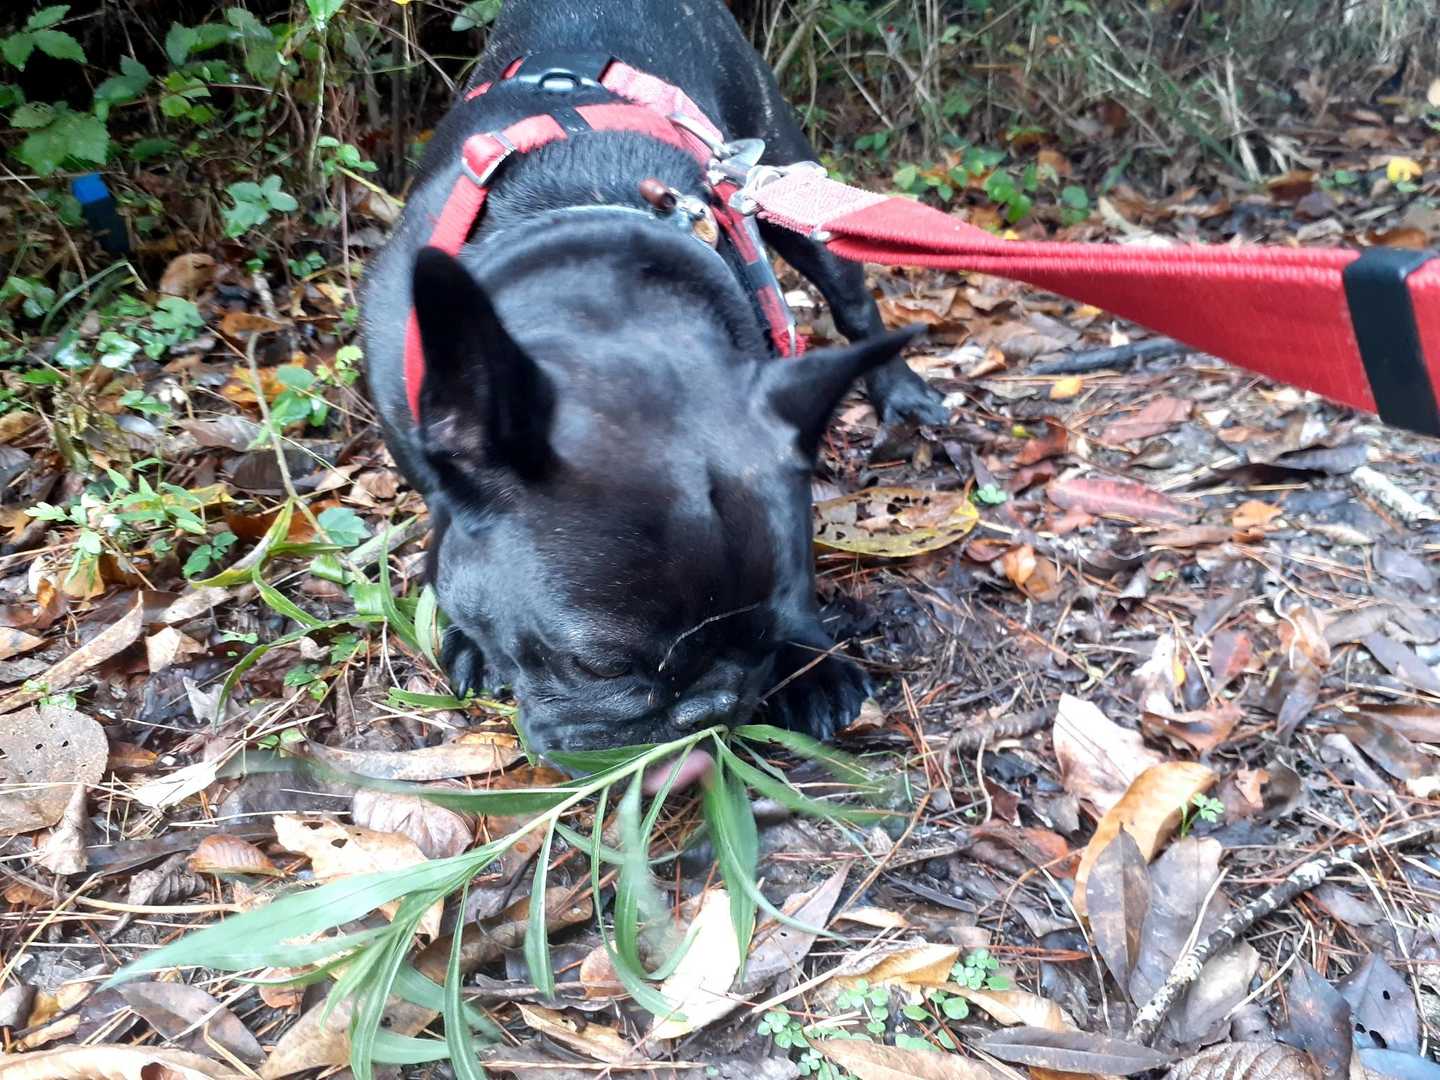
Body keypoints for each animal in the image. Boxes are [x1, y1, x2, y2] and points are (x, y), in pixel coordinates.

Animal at [362, 0, 947, 759]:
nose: (709, 707)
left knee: (853, 303)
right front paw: (469, 636)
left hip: (797, 193)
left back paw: (902, 392)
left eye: (769, 636)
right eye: (598, 666)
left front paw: (811, 667)